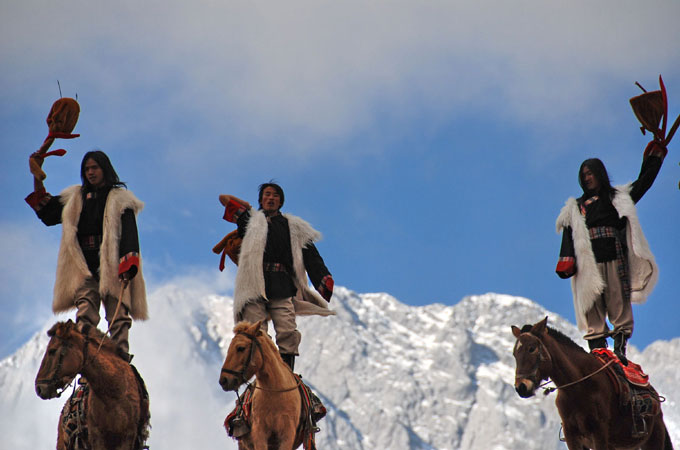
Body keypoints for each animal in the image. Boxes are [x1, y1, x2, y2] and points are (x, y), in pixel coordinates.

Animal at [512, 316, 672, 450]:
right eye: (515, 353)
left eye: (532, 348)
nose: (521, 387)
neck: (577, 388)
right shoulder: (572, 435)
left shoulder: (599, 433)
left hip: (652, 441)